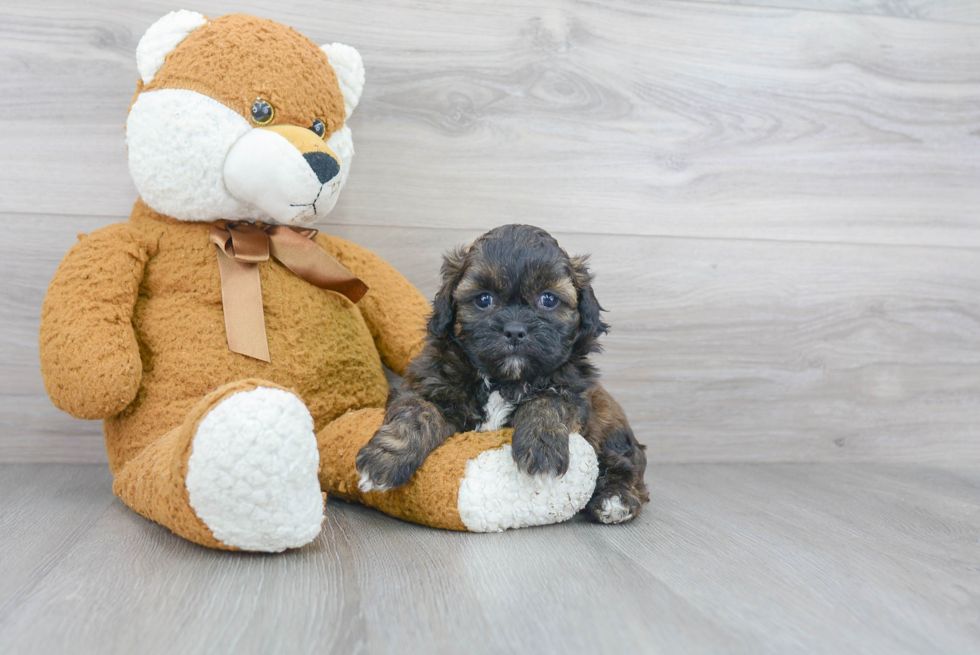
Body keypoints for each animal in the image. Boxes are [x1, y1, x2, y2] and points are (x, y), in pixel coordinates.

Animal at [356, 224, 648, 524]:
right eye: (484, 299)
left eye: (548, 299)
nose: (515, 330)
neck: (504, 380)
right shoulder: (426, 383)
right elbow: (416, 412)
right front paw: (385, 460)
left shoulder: (574, 396)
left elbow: (548, 402)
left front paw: (541, 451)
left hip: (611, 431)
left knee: (626, 467)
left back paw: (615, 500)